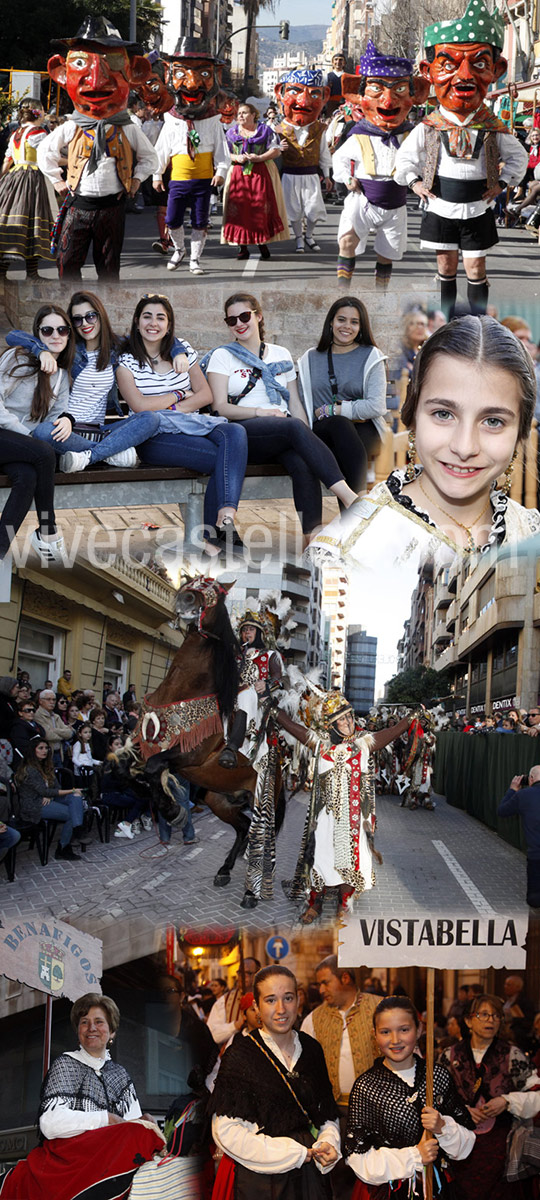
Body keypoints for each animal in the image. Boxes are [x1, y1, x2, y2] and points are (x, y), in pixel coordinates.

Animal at [132, 576, 265, 897]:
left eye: (215, 590)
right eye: (190, 581)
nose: (186, 599)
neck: (181, 689)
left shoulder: (190, 753)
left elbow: (155, 767)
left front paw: (173, 811)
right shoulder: (151, 748)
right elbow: (145, 773)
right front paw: (171, 810)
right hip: (219, 799)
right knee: (243, 828)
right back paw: (225, 870)